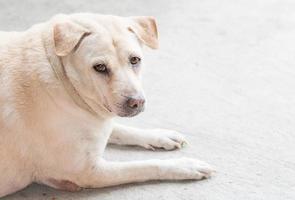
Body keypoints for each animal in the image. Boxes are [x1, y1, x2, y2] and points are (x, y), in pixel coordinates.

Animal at [0, 13, 214, 198]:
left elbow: (121, 129)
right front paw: (185, 166)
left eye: (135, 60)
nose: (137, 102)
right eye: (100, 67)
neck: (63, 78)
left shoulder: (99, 122)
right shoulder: (89, 172)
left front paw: (160, 135)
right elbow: (145, 166)